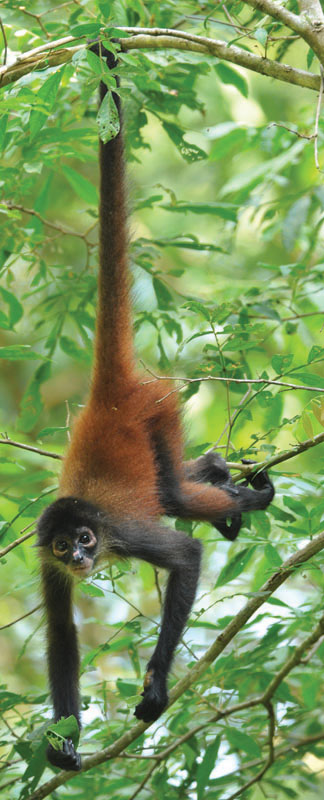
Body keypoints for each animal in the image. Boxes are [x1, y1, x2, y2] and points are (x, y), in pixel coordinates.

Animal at [36, 47, 274, 772]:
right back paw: (218, 467)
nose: (83, 559)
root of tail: (106, 394)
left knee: (173, 494)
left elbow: (185, 555)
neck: (93, 526)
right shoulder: (47, 564)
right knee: (175, 489)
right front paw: (63, 739)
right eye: (66, 546)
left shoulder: (121, 531)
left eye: (88, 539)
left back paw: (243, 496)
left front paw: (156, 690)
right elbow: (61, 634)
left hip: (158, 411)